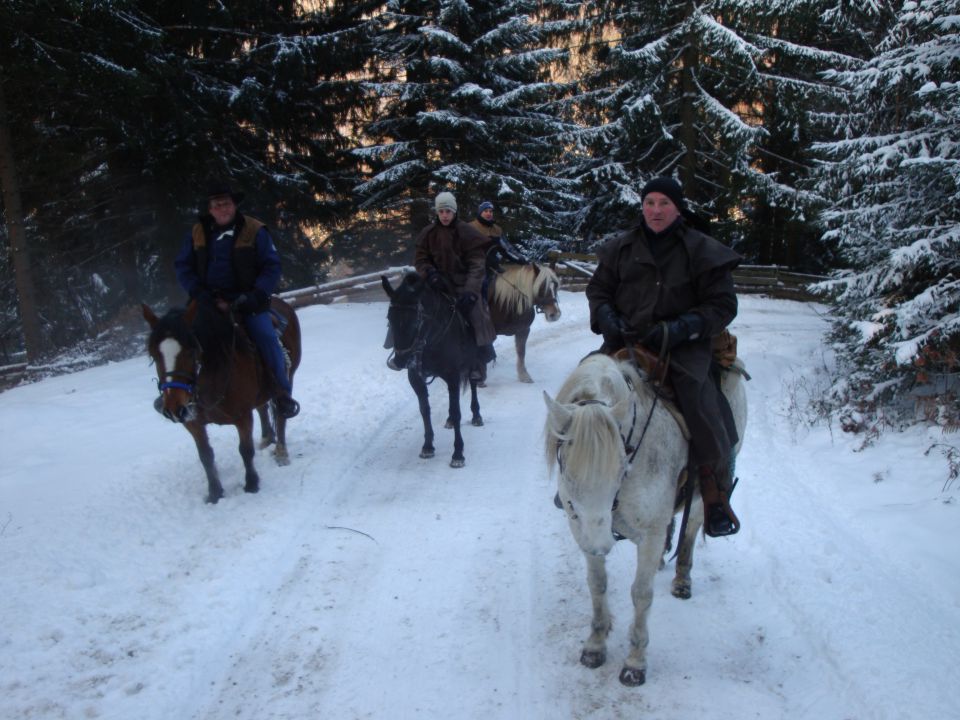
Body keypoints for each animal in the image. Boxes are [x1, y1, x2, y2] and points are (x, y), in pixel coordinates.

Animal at [141, 296, 300, 504]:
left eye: (191, 350)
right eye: (154, 354)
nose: (174, 408)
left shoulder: (242, 416)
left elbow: (245, 450)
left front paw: (251, 484)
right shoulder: (193, 422)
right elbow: (206, 456)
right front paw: (214, 493)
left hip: (287, 378)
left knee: (281, 413)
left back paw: (281, 452)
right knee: (262, 407)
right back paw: (266, 438)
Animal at [380, 270, 480, 466]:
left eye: (415, 320)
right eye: (390, 318)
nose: (401, 360)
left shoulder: (453, 376)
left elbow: (456, 411)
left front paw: (458, 453)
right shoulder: (415, 377)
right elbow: (424, 410)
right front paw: (427, 446)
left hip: (471, 364)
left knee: (473, 385)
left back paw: (476, 416)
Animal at [544, 352, 748, 688]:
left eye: (621, 465)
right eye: (568, 473)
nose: (601, 546)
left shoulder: (648, 535)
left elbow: (641, 593)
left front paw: (635, 662)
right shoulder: (581, 527)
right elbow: (597, 585)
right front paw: (595, 645)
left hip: (702, 494)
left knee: (692, 527)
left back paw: (682, 579)